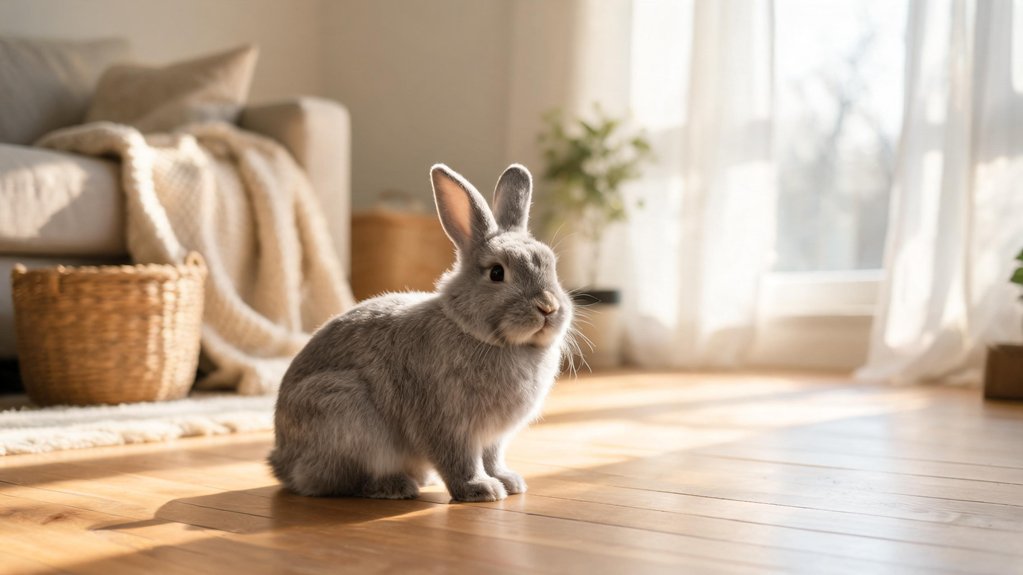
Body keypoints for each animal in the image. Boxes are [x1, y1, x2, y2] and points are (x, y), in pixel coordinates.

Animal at [269, 163, 573, 502]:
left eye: (551, 265)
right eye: (497, 273)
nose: (548, 307)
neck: (476, 332)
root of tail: (281, 462)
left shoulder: (492, 438)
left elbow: (493, 458)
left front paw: (509, 482)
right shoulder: (448, 425)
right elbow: (459, 460)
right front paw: (480, 490)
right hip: (344, 412)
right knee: (336, 481)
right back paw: (395, 486)